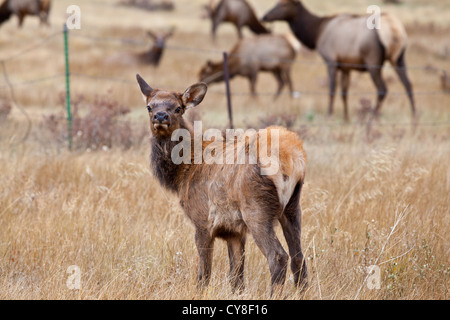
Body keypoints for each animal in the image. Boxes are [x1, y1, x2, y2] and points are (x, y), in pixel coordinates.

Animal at [135, 74, 308, 294]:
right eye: (149, 106)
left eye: (178, 108)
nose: (160, 116)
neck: (183, 172)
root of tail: (290, 156)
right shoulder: (234, 230)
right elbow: (236, 276)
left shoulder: (202, 220)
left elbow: (204, 273)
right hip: (293, 207)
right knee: (299, 257)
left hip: (256, 209)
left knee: (278, 256)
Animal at [262, 0, 416, 122]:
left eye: (283, 4)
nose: (264, 16)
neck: (316, 33)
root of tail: (394, 30)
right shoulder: (345, 67)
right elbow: (344, 93)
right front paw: (346, 118)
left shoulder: (331, 61)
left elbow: (332, 90)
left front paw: (329, 115)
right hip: (399, 59)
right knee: (408, 85)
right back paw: (414, 118)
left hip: (373, 61)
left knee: (382, 89)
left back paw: (372, 118)